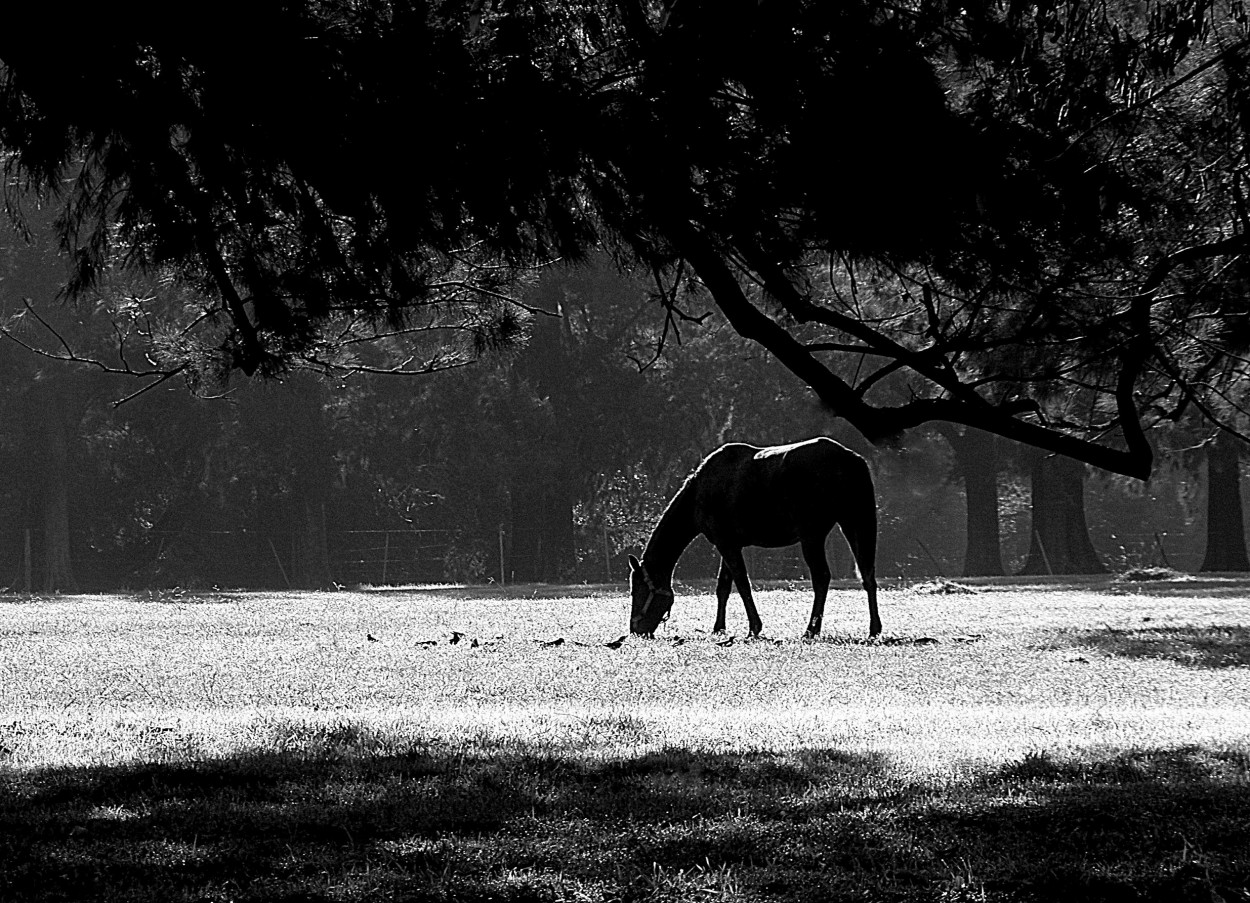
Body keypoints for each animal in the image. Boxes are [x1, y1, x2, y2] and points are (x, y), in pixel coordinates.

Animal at [625, 435, 880, 632]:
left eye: (638, 590)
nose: (635, 629)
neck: (700, 491)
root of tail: (849, 458)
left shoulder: (726, 545)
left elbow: (742, 584)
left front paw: (754, 627)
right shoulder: (729, 544)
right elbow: (723, 587)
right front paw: (719, 628)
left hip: (812, 536)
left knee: (822, 578)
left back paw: (811, 629)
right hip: (854, 523)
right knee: (867, 574)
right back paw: (874, 628)